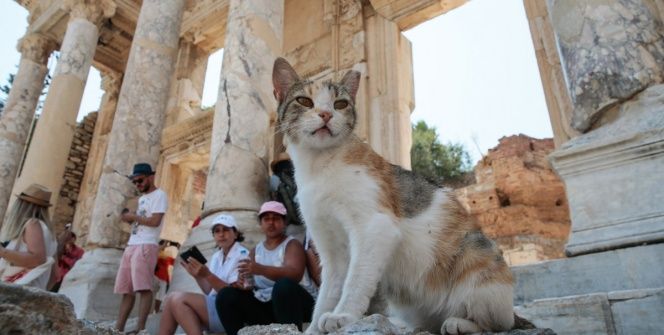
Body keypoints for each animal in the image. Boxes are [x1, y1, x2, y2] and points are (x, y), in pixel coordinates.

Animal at [272, 58, 516, 335]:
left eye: (340, 104)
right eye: (304, 101)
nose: (326, 114)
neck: (318, 167)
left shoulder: (375, 227)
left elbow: (356, 280)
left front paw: (343, 315)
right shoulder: (331, 249)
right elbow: (328, 291)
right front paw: (314, 327)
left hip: (476, 263)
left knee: (498, 323)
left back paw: (459, 323)